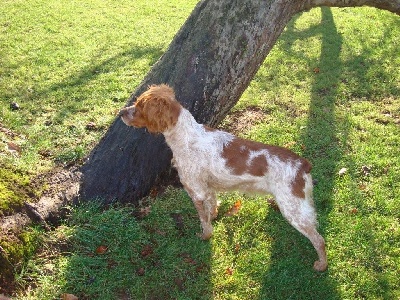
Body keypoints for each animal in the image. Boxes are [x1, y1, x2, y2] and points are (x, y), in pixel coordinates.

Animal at [120, 84, 326, 272]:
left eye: (139, 106)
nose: (121, 112)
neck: (186, 137)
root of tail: (303, 164)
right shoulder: (208, 188)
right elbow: (212, 207)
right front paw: (214, 216)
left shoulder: (196, 192)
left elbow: (204, 221)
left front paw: (205, 236)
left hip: (293, 210)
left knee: (319, 239)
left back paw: (321, 265)